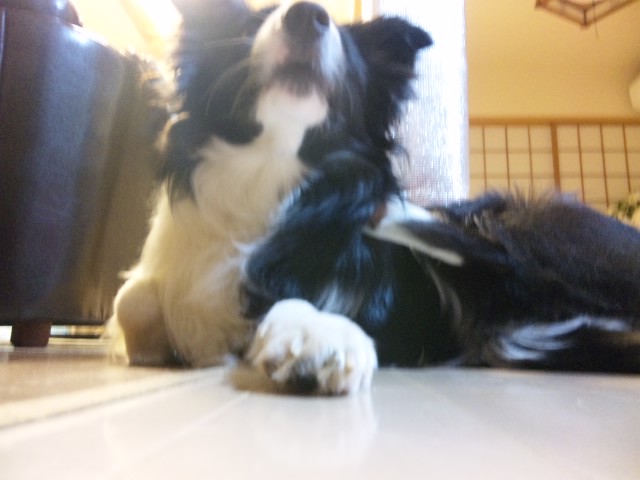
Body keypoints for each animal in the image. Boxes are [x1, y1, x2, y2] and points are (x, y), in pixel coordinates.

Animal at [112, 0, 640, 395]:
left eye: (346, 49)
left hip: (524, 226)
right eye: (250, 27)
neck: (270, 171)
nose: (308, 15)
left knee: (487, 248)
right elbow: (132, 297)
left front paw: (315, 334)